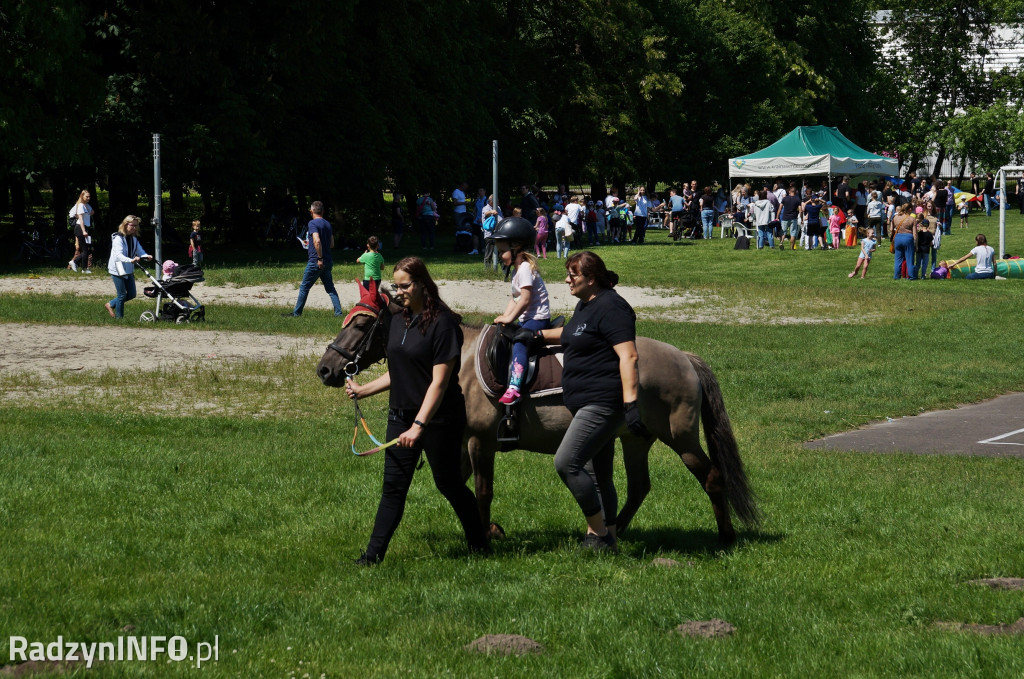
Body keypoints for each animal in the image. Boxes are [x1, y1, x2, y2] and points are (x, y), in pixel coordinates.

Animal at [319, 280, 761, 548]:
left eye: (361, 324)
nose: (326, 369)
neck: (457, 364)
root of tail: (684, 358)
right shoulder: (460, 444)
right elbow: (460, 486)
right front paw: (485, 529)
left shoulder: (480, 441)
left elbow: (481, 490)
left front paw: (486, 533)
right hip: (635, 438)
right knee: (639, 487)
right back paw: (614, 529)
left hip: (680, 437)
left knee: (711, 477)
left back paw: (724, 538)